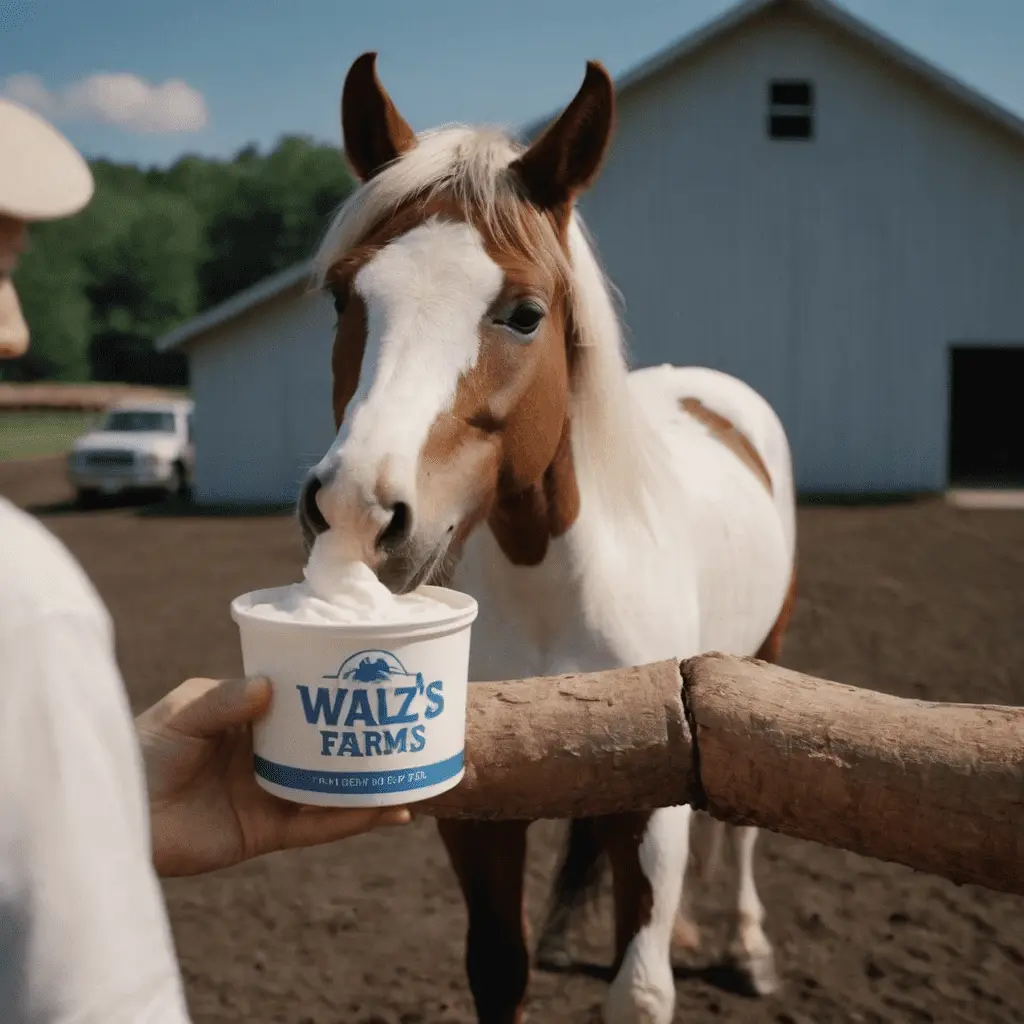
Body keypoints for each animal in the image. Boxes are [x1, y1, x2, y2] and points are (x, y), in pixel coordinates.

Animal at [298, 52, 798, 1024]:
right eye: (343, 296)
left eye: (524, 313)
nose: (357, 512)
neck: (553, 588)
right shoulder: (478, 813)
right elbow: (500, 968)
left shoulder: (654, 809)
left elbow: (640, 988)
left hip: (765, 657)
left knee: (741, 838)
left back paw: (749, 947)